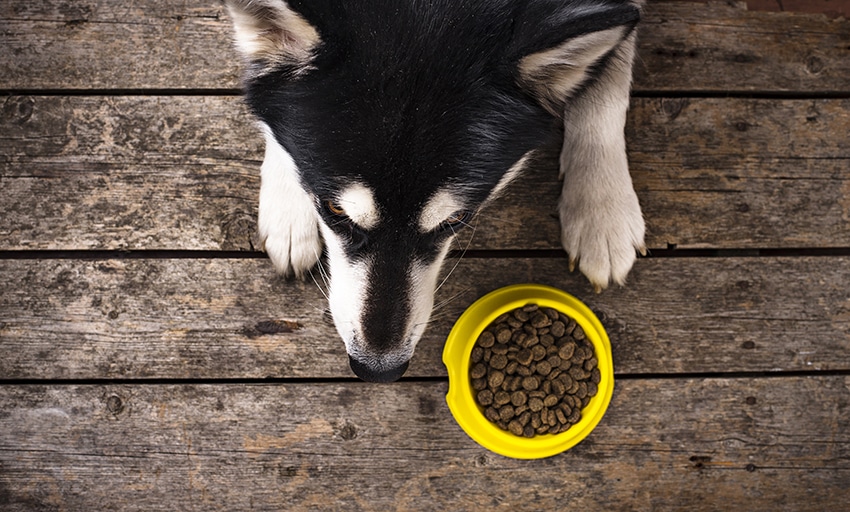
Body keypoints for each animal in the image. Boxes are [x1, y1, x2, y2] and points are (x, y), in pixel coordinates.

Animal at [224, 0, 644, 382]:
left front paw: (601, 212)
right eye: (335, 210)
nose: (378, 370)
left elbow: (608, 77)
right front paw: (288, 207)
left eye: (456, 219)